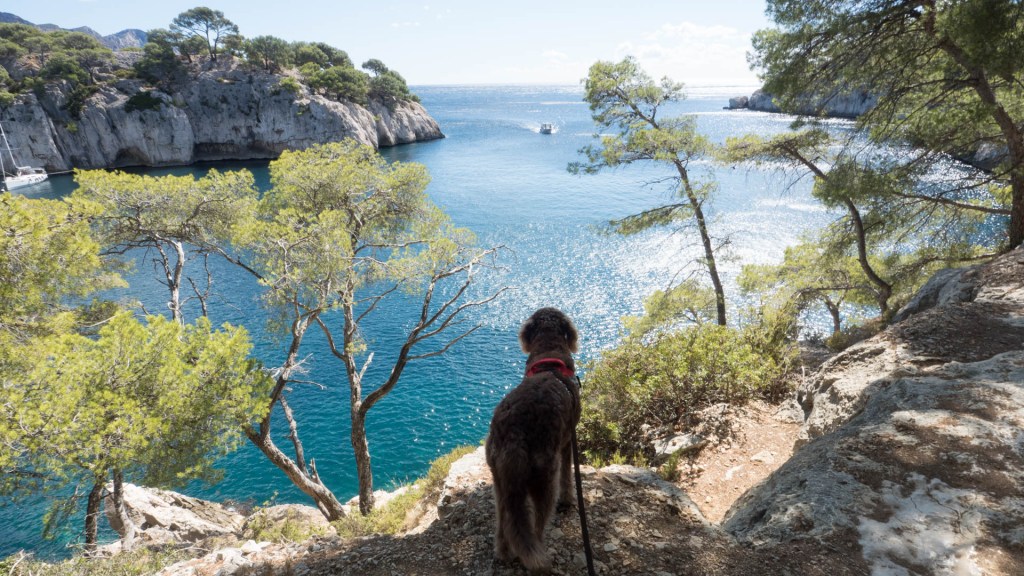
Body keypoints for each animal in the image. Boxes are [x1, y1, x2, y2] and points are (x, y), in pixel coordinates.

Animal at [485, 307, 581, 574]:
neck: (549, 359)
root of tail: (514, 435)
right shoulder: (567, 443)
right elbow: (568, 477)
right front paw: (568, 500)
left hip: (499, 482)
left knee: (504, 524)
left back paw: (504, 553)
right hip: (544, 479)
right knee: (537, 526)